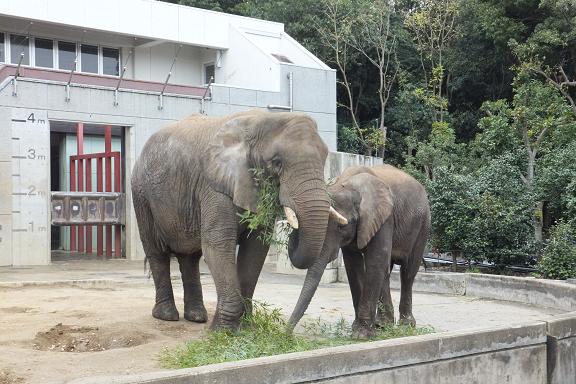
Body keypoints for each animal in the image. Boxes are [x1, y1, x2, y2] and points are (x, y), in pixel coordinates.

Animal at [130, 110, 344, 330]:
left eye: (324, 158)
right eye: (277, 163)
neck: (260, 120)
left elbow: (255, 249)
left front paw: (246, 327)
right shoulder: (213, 187)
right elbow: (218, 244)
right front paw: (223, 331)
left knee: (190, 257)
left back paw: (197, 317)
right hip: (141, 194)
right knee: (156, 252)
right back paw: (166, 315)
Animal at [286, 164, 430, 338]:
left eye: (341, 226)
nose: (286, 333)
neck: (348, 185)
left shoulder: (384, 218)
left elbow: (375, 261)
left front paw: (361, 335)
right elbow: (354, 265)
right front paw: (359, 330)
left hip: (423, 224)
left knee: (408, 272)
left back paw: (405, 326)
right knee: (386, 273)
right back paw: (382, 325)